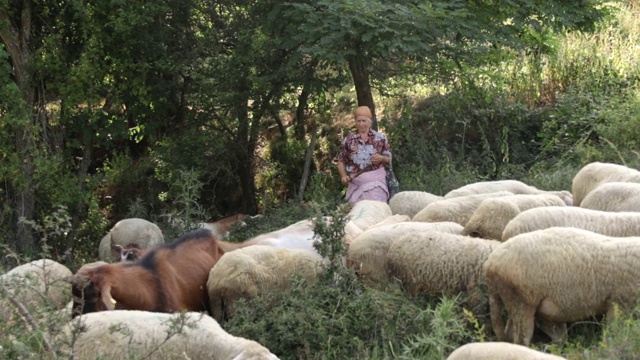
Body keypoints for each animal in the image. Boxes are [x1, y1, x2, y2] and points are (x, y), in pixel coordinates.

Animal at [484, 228, 640, 346]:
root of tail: (490, 264)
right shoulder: (620, 303)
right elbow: (614, 334)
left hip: (515, 301)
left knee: (510, 335)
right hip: (522, 300)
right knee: (521, 339)